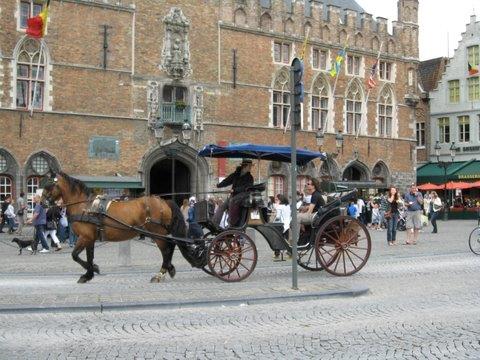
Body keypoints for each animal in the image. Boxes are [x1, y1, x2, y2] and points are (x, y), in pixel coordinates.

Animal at [40, 172, 187, 284]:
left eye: (48, 184)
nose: (41, 203)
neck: (84, 207)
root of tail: (163, 201)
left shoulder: (85, 237)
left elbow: (75, 255)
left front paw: (92, 271)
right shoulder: (90, 238)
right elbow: (89, 256)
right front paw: (90, 273)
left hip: (156, 233)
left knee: (166, 250)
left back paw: (160, 274)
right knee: (170, 247)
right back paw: (169, 269)